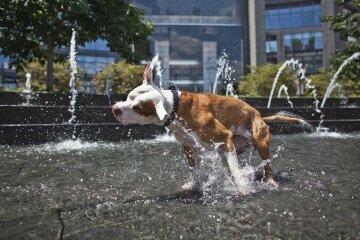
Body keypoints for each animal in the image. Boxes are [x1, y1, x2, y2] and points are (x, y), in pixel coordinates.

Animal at [112, 63, 306, 193]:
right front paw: (193, 184)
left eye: (138, 107)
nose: (115, 108)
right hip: (232, 146)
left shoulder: (224, 136)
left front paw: (243, 188)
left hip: (259, 141)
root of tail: (260, 115)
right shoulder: (188, 147)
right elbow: (194, 170)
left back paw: (270, 181)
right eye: (129, 96)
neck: (176, 107)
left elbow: (235, 171)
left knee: (266, 165)